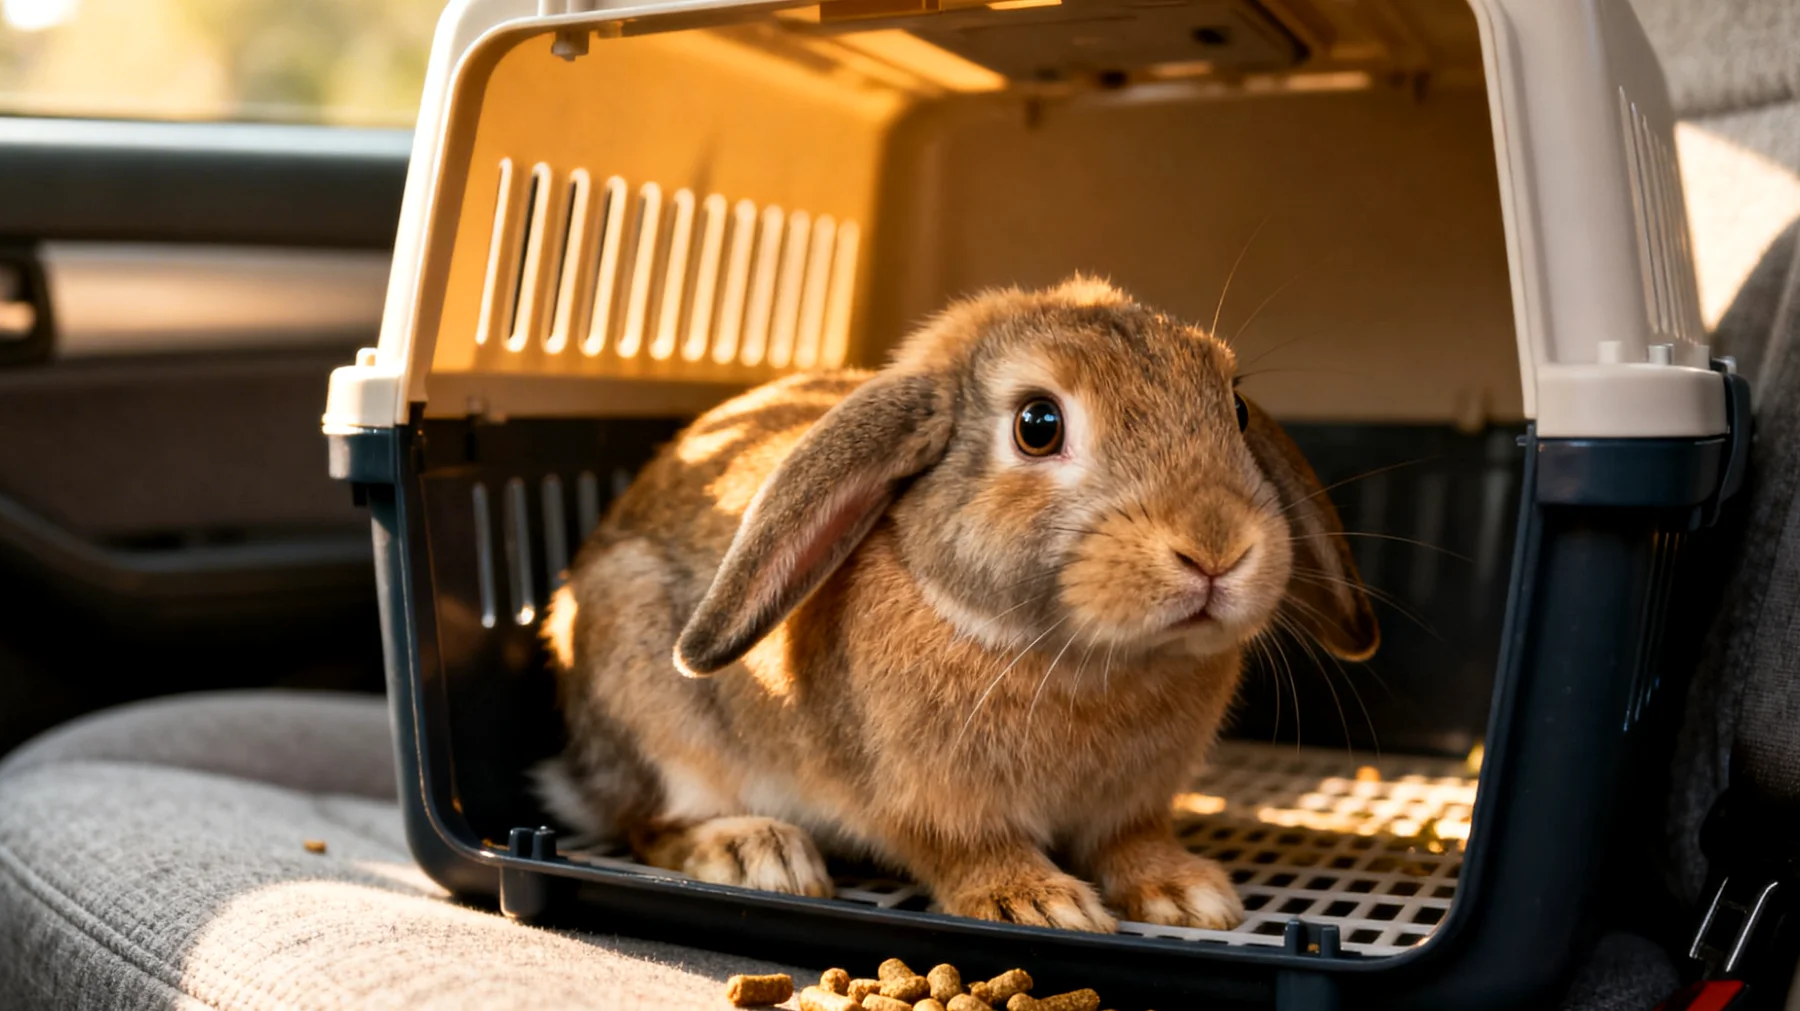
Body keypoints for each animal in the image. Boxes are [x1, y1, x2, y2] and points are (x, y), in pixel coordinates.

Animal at [535, 275, 1378, 932]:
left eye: (1237, 410)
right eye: (1038, 424)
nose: (1215, 549)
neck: (1078, 657)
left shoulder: (1132, 805)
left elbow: (1131, 842)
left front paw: (1191, 894)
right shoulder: (928, 804)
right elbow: (967, 849)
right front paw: (1039, 904)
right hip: (651, 700)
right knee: (649, 822)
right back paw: (757, 852)